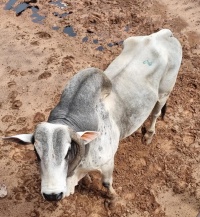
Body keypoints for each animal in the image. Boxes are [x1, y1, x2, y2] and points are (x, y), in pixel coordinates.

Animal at [3, 28, 181, 202]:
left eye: (68, 152)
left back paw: (148, 135)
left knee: (156, 113)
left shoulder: (108, 162)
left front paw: (112, 198)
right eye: (37, 153)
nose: (52, 195)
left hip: (164, 92)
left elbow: (106, 183)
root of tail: (164, 33)